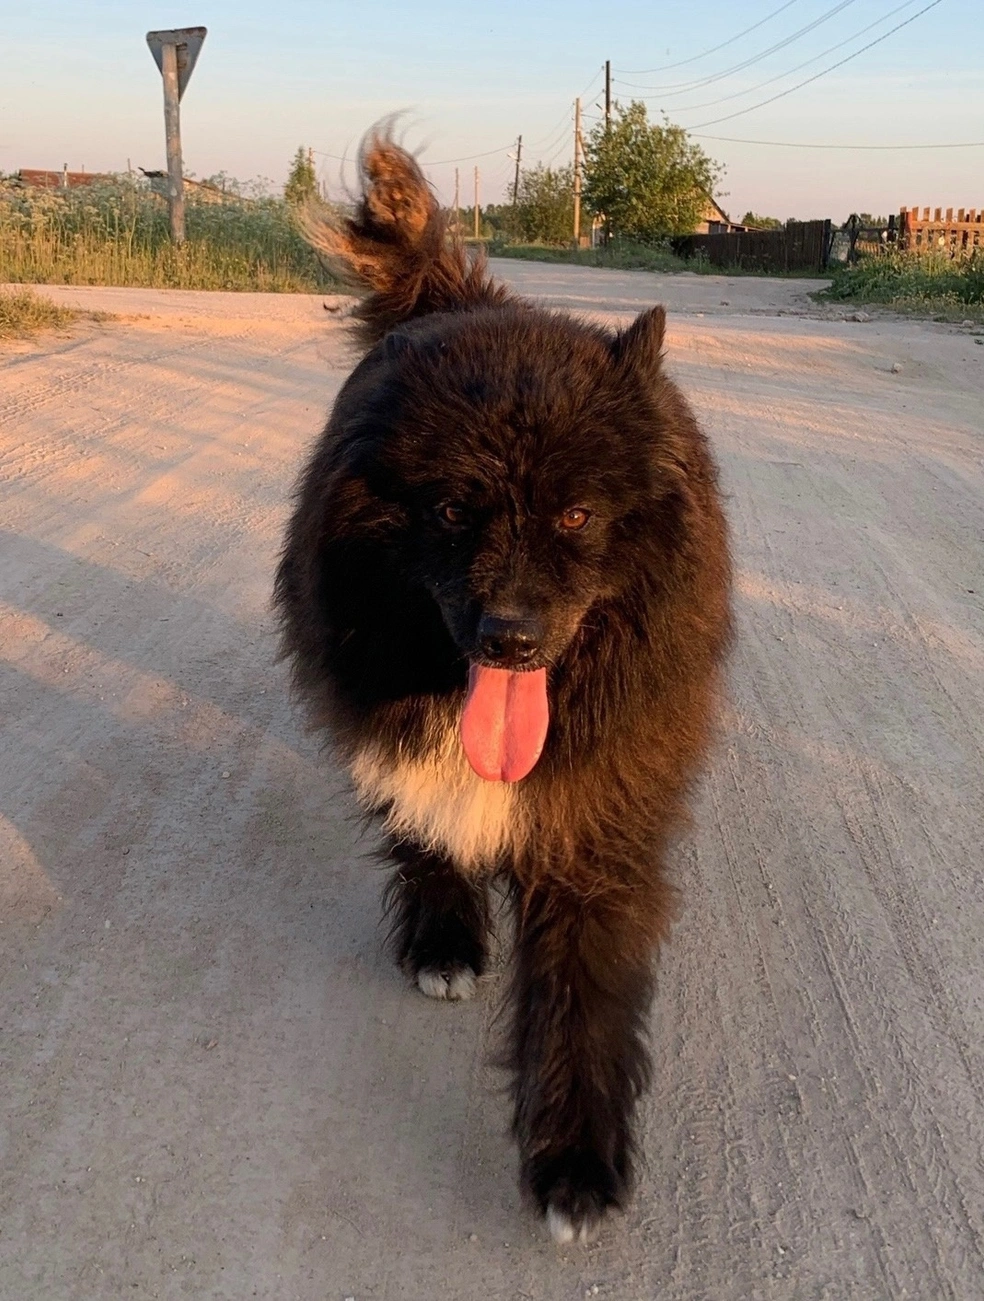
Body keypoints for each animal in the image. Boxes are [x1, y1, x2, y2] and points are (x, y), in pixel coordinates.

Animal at [273, 129, 734, 1238]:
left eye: (576, 514)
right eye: (450, 509)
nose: (513, 637)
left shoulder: (597, 818)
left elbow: (582, 987)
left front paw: (573, 1162)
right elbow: (424, 823)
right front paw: (444, 936)